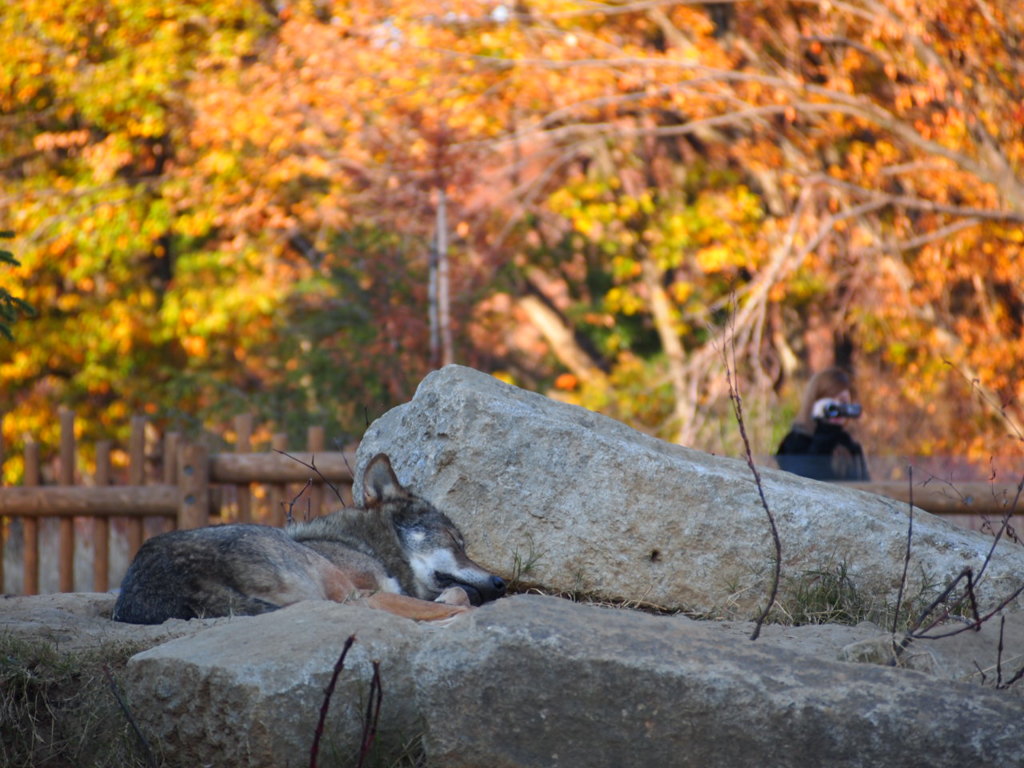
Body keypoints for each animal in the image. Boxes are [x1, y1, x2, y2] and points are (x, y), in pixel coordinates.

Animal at [111, 450, 503, 626]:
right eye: (455, 540)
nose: (500, 582)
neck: (368, 545)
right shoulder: (369, 593)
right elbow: (455, 596)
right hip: (340, 589)